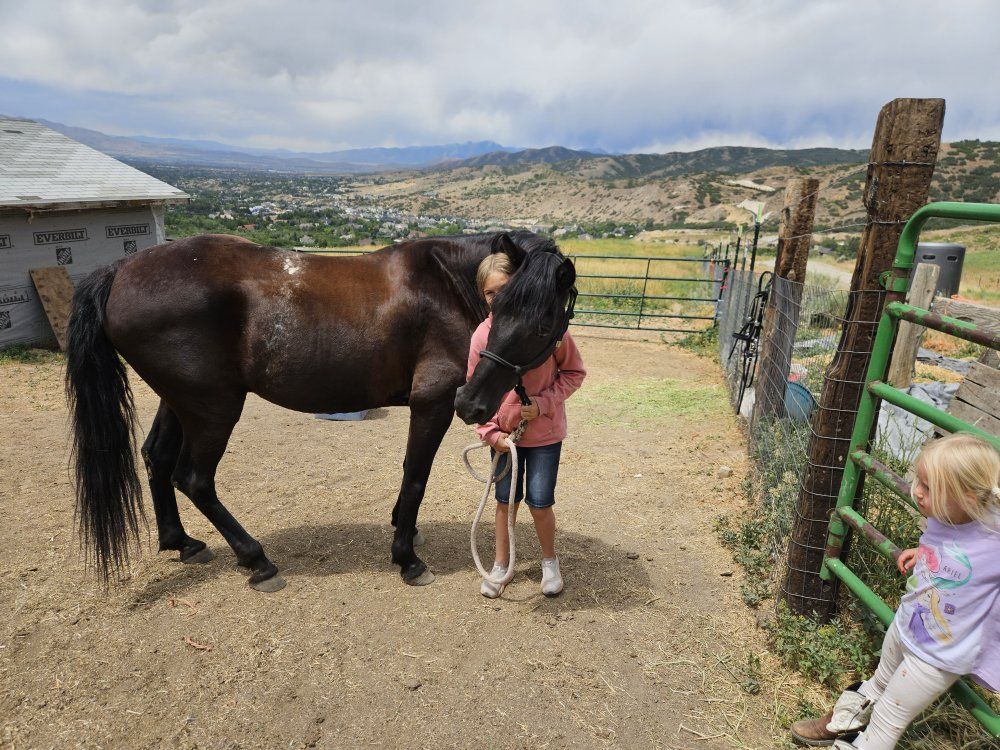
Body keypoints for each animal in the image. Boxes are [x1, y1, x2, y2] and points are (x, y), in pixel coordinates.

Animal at [65, 230, 576, 591]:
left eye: (543, 321)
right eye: (497, 305)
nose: (471, 403)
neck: (444, 285)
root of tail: (120, 269)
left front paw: (404, 531)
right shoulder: (431, 403)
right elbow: (415, 476)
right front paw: (407, 558)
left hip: (180, 402)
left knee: (156, 458)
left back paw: (182, 543)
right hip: (213, 409)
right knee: (193, 478)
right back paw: (257, 560)